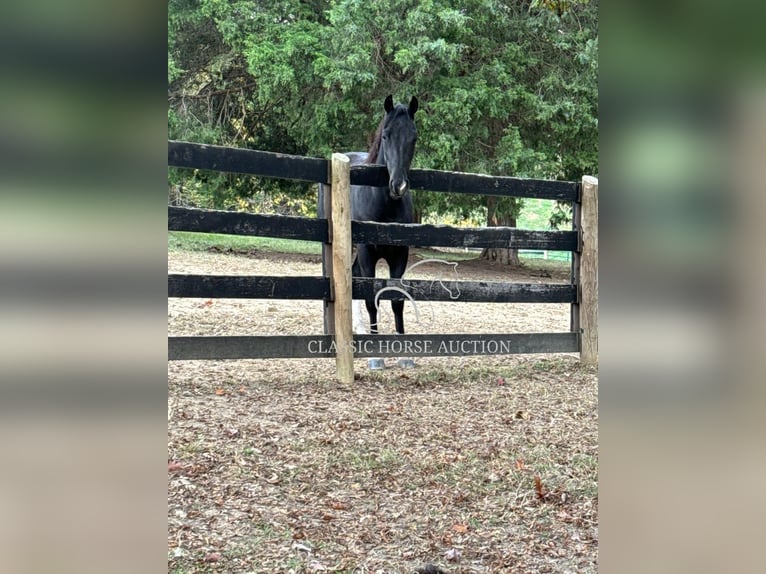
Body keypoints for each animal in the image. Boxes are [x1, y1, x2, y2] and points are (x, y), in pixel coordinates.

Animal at [320, 93, 420, 368]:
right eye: (386, 135)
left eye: (414, 137)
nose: (399, 186)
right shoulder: (367, 253)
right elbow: (371, 300)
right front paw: (376, 356)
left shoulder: (400, 255)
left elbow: (396, 300)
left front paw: (405, 356)